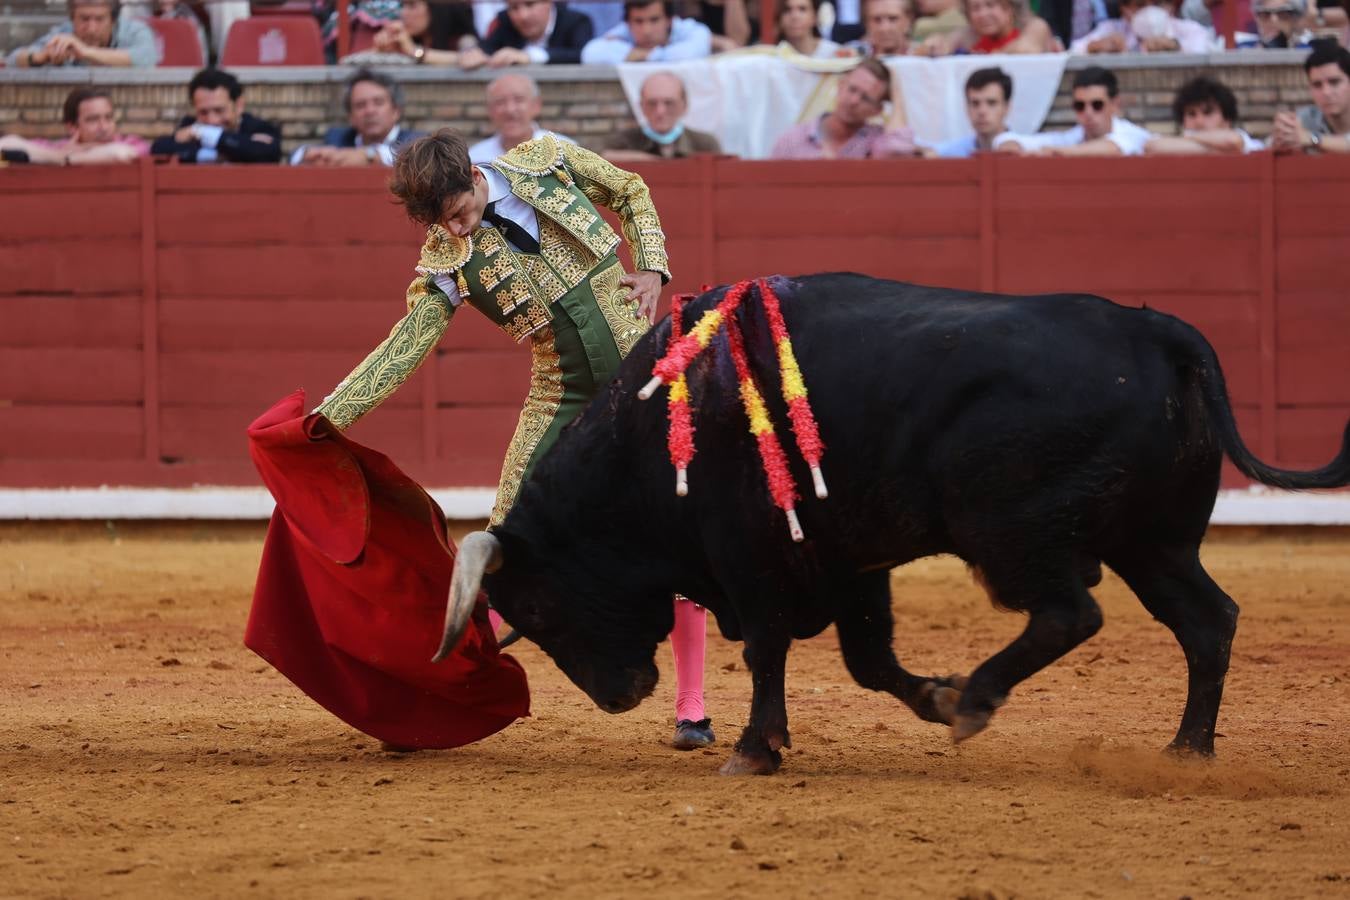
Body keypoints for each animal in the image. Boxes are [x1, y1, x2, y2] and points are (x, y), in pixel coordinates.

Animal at [434, 272, 1350, 777]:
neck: (656, 427)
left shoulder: (750, 559)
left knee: (1070, 612)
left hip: (1014, 530)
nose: (620, 697)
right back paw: (1186, 748)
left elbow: (767, 648)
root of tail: (1158, 331)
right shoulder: (851, 560)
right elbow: (870, 661)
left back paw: (984, 697)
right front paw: (931, 699)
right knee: (1207, 620)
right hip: (1154, 540)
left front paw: (754, 748)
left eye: (539, 609)